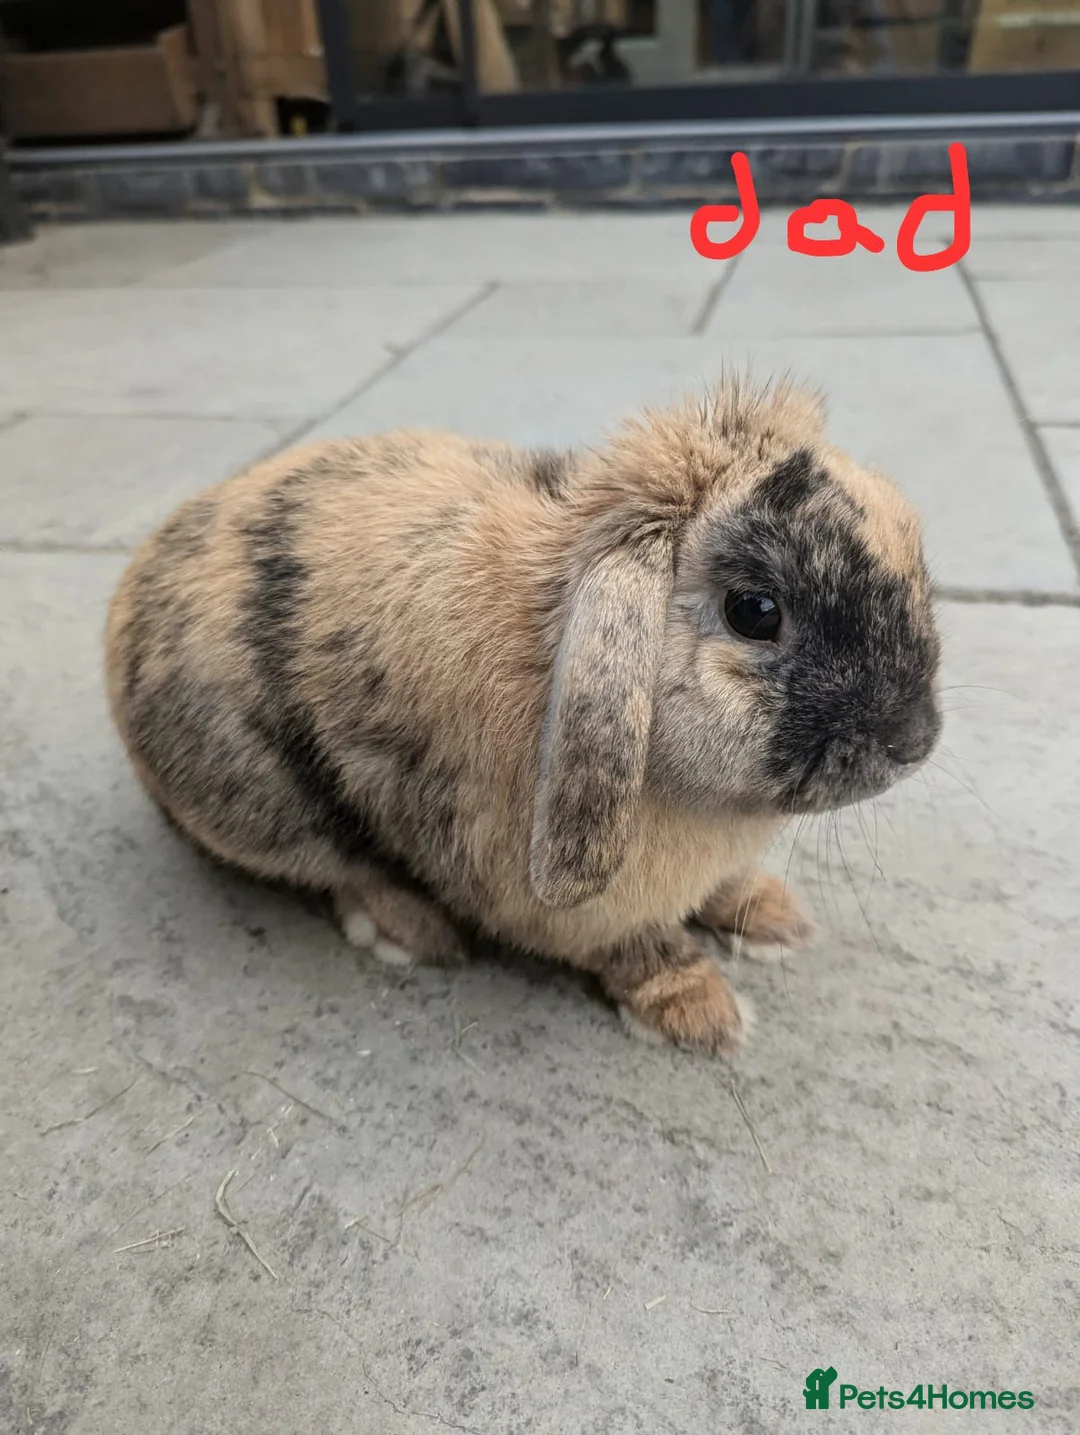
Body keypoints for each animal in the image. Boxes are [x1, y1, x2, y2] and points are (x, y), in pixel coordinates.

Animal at [104, 376, 941, 1059]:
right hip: (267, 802)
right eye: (755, 611)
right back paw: (417, 936)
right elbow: (640, 949)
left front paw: (771, 917)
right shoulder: (580, 909)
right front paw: (704, 1014)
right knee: (339, 868)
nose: (916, 740)